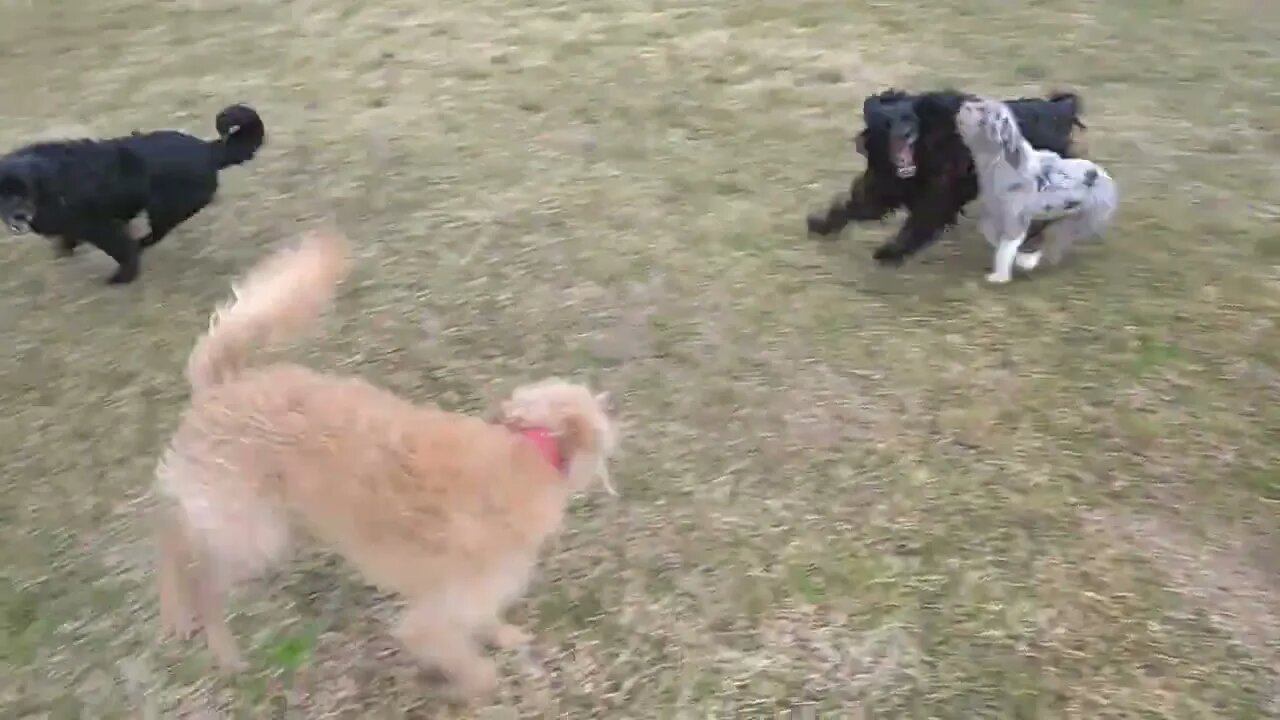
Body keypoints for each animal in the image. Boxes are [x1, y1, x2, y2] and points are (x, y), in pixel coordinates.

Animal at [0, 103, 264, 283]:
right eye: (4, 196)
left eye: (22, 192)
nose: (19, 216)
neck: (45, 182)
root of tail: (208, 150)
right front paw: (65, 250)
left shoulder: (98, 226)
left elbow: (121, 249)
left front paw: (123, 277)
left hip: (165, 208)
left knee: (156, 233)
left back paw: (141, 244)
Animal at [157, 229, 616, 696]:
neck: (526, 454)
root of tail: (220, 387)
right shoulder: (433, 618)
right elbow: (466, 663)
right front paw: (473, 685)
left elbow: (487, 622)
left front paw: (504, 636)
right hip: (252, 534)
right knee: (196, 570)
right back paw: (214, 642)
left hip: (251, 522)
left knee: (174, 534)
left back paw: (175, 612)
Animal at [803, 88, 1085, 265]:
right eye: (886, 122)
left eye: (909, 118)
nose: (905, 134)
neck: (926, 152)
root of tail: (1061, 109)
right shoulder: (883, 188)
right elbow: (852, 207)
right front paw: (821, 224)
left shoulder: (937, 198)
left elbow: (917, 227)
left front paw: (890, 253)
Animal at [957, 94, 1116, 283]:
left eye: (982, 110)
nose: (963, 105)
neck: (999, 162)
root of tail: (1103, 175)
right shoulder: (996, 212)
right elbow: (991, 233)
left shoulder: (1015, 216)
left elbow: (1006, 247)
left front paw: (1000, 276)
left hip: (1078, 222)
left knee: (1053, 243)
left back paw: (1029, 261)